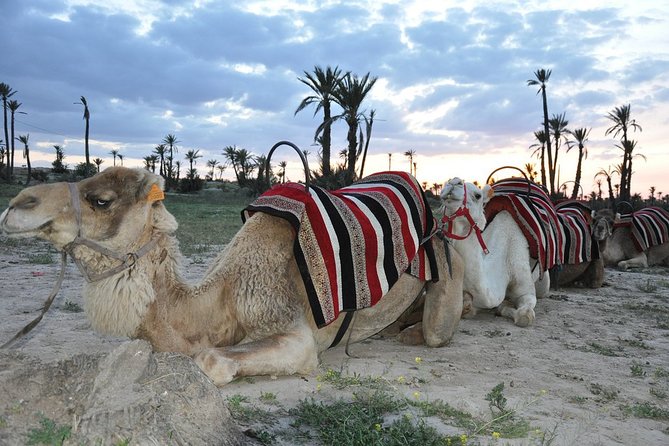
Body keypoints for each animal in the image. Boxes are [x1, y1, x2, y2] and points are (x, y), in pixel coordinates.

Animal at [0, 167, 464, 386]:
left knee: (438, 327)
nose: (17, 204)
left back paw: (414, 331)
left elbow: (210, 360)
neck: (219, 301)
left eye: (101, 200)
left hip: (446, 258)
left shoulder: (293, 331)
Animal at [440, 178, 544, 328]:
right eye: (444, 185)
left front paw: (503, 307)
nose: (453, 182)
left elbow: (524, 316)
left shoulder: (526, 289)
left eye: (478, 195)